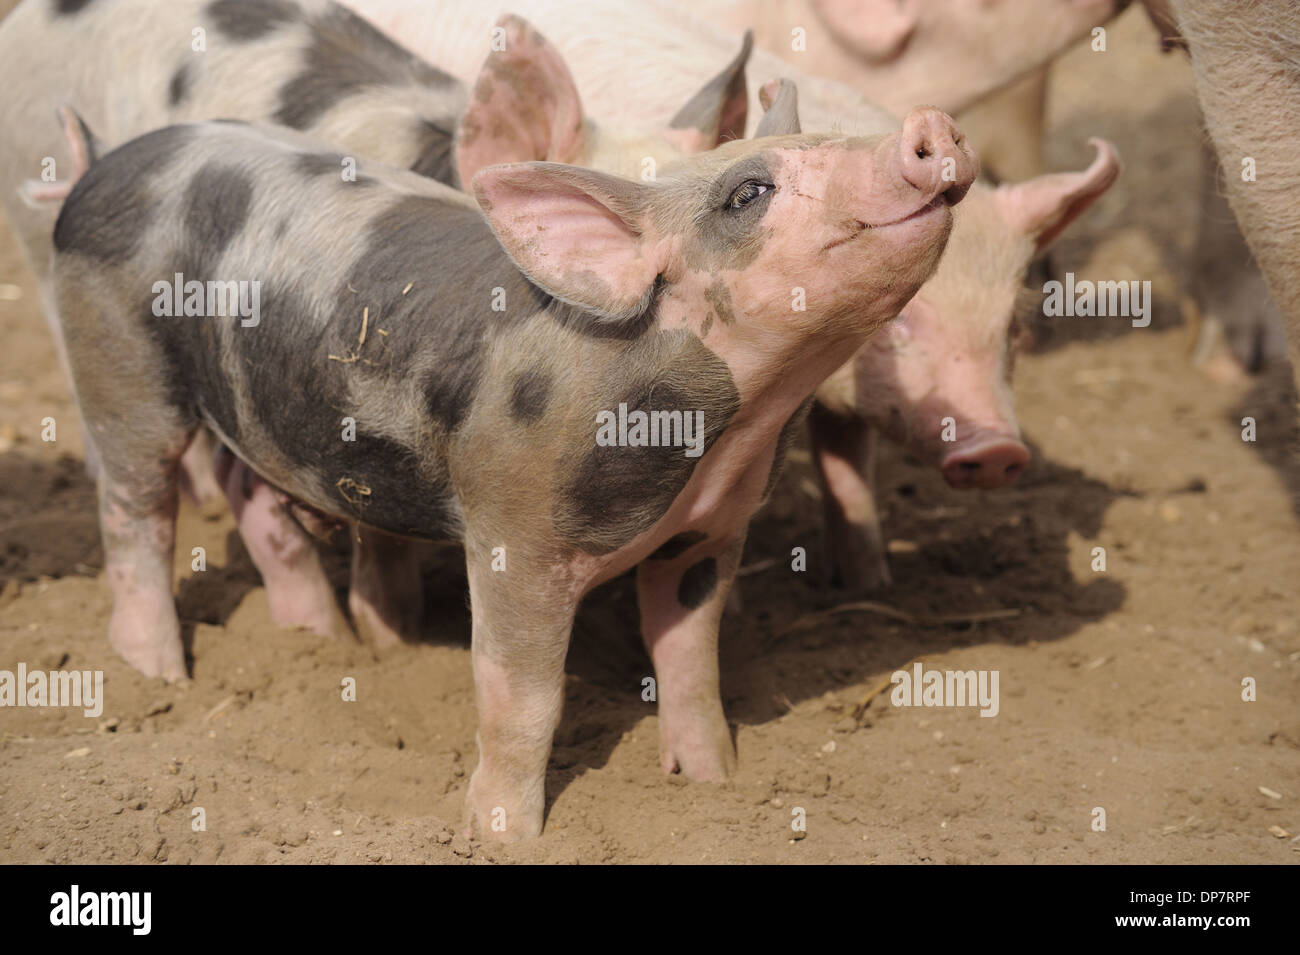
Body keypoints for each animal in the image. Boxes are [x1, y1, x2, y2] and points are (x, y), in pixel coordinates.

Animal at [55, 93, 977, 831]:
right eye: (747, 193)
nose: (929, 125)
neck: (727, 430)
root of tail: (107, 162)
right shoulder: (514, 524)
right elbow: (524, 696)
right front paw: (502, 833)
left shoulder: (709, 532)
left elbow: (690, 663)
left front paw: (715, 785)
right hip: (118, 358)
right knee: (134, 507)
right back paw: (159, 674)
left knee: (247, 488)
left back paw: (322, 641)